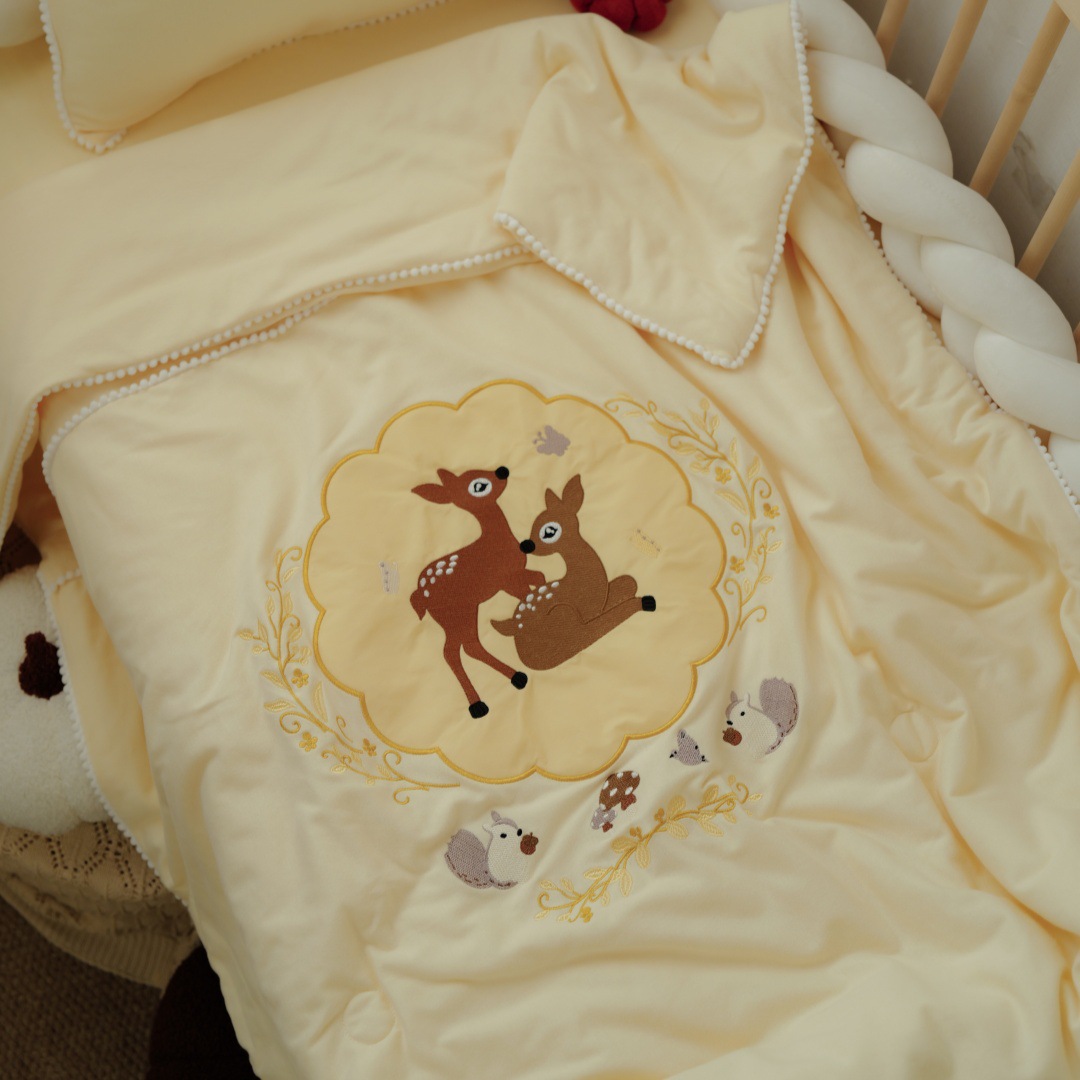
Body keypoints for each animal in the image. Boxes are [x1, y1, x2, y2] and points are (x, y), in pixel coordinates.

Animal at [410, 467, 545, 718]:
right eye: (479, 486)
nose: (502, 470)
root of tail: (419, 594)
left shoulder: (511, 580)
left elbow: (537, 581)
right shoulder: (507, 580)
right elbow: (531, 589)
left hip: (466, 612)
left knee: (470, 646)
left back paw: (516, 677)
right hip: (456, 616)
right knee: (452, 651)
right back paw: (478, 705)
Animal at [490, 475, 655, 670]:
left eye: (549, 531)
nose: (525, 545)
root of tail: (511, 627)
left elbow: (628, 582)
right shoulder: (584, 615)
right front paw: (644, 602)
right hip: (563, 616)